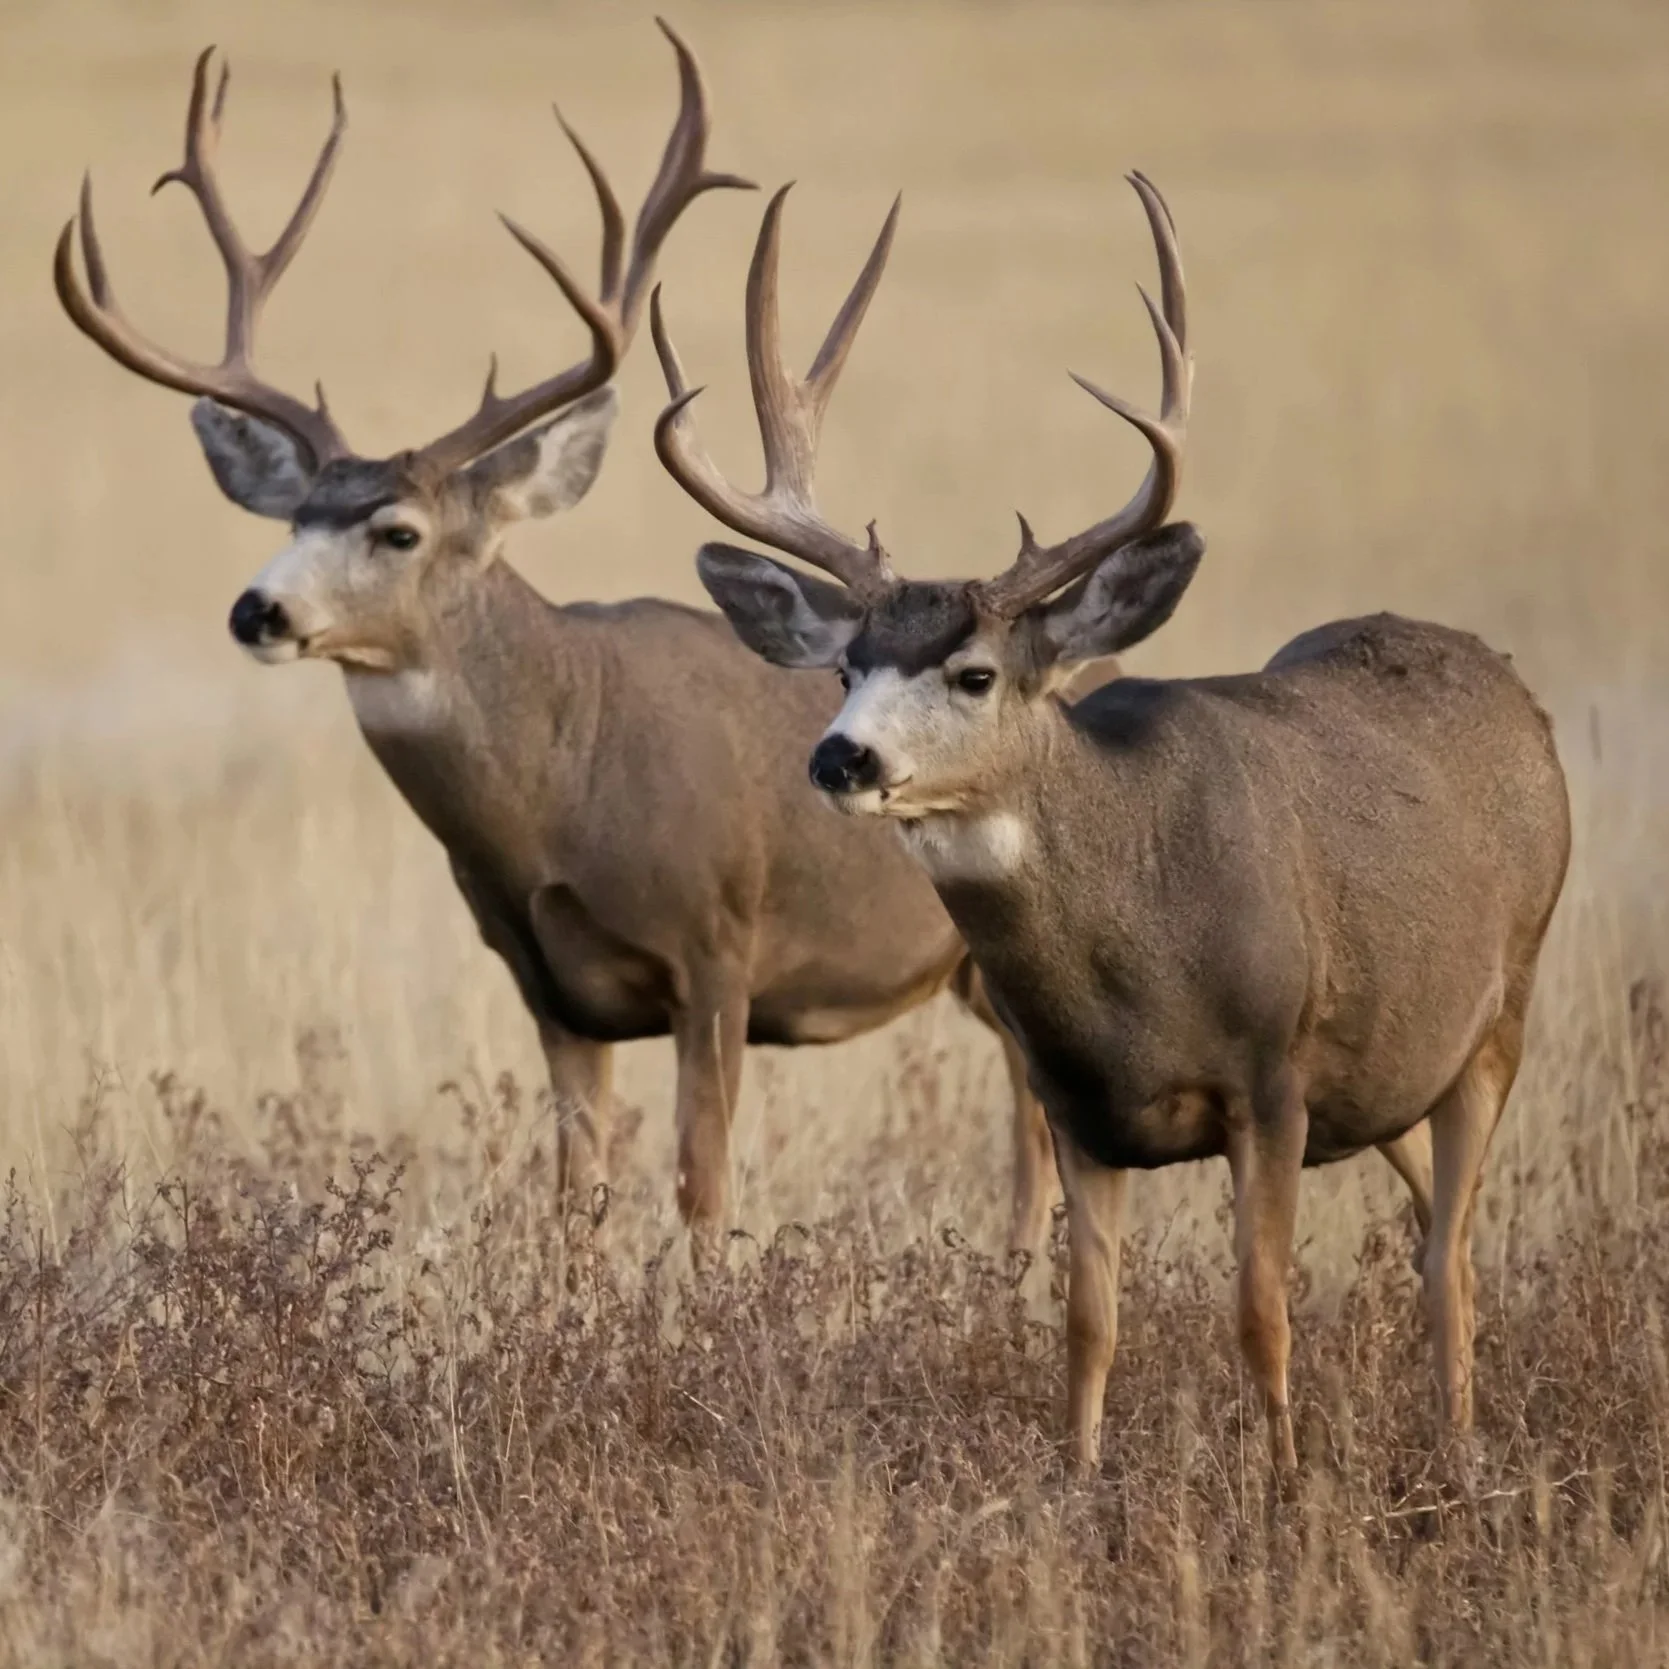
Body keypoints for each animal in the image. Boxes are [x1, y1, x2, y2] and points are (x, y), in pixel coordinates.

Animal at [53, 27, 1093, 1267]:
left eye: (397, 530)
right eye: (293, 514)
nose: (258, 610)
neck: (562, 785)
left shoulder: (718, 950)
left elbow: (703, 1192)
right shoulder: (548, 988)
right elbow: (572, 1201)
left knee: (1039, 1122)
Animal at [649, 172, 1571, 1475]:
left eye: (975, 673)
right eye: (844, 666)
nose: (840, 756)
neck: (1135, 954)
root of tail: (1512, 692)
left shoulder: (1274, 1077)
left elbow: (1259, 1307)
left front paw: (1282, 1483)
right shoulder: (1074, 1102)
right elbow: (1086, 1319)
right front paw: (1077, 1481)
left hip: (1503, 1008)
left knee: (1449, 1256)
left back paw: (1459, 1451)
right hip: (1400, 1062)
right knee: (1437, 1230)